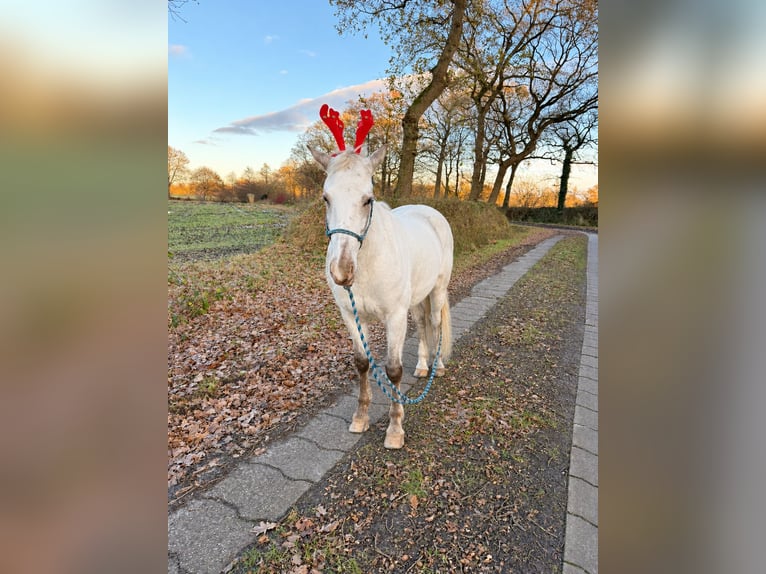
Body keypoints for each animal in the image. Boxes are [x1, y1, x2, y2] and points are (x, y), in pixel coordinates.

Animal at [309, 124, 453, 450]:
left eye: (368, 199)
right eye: (326, 198)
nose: (341, 271)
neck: (367, 263)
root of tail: (430, 212)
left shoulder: (394, 316)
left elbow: (393, 370)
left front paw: (395, 429)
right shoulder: (351, 317)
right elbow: (362, 362)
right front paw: (360, 418)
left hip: (437, 292)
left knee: (435, 324)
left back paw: (437, 367)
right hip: (416, 300)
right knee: (422, 324)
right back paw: (422, 366)